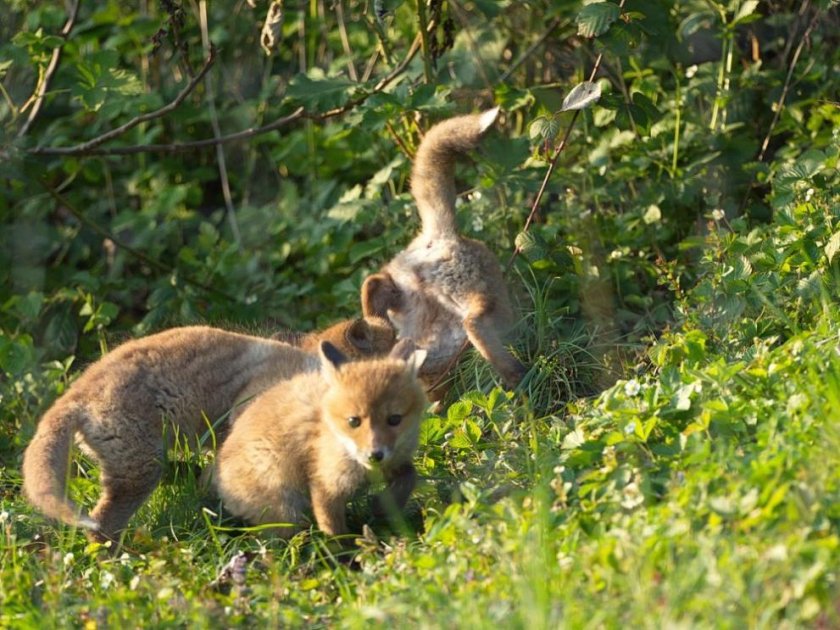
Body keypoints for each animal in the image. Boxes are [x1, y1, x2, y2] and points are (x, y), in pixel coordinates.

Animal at [217, 340, 426, 540]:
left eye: (394, 419)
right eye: (353, 421)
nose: (375, 455)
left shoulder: (395, 462)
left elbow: (410, 474)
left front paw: (384, 505)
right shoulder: (325, 483)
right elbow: (334, 531)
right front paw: (343, 551)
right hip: (285, 511)